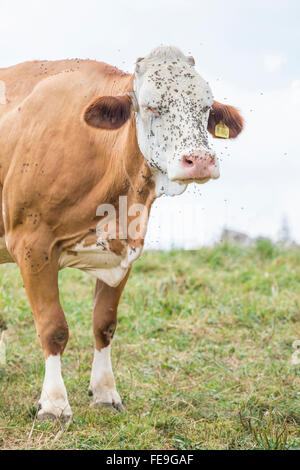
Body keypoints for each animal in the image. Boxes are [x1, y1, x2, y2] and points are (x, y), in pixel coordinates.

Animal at [0, 46, 243, 418]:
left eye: (205, 107)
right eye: (151, 106)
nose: (199, 160)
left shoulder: (125, 251)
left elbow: (104, 324)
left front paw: (104, 392)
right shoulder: (31, 243)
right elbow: (53, 327)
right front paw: (54, 402)